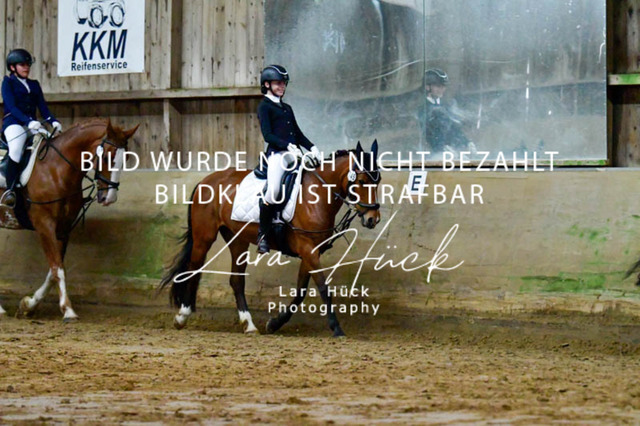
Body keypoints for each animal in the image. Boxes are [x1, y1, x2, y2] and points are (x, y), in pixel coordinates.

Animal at [0, 119, 138, 320]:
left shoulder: (63, 228)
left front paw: (29, 305)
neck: (55, 170)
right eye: (106, 157)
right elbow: (57, 269)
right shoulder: (45, 225)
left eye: (126, 159)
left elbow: (54, 270)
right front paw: (68, 310)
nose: (109, 198)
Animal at [159, 141, 381, 337]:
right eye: (362, 181)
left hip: (237, 240)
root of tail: (207, 180)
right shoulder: (307, 249)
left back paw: (248, 325)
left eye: (377, 181)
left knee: (236, 280)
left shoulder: (311, 251)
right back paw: (182, 316)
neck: (318, 193)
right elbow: (324, 288)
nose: (373, 219)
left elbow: (300, 292)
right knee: (193, 269)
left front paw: (274, 324)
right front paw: (336, 328)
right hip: (204, 237)